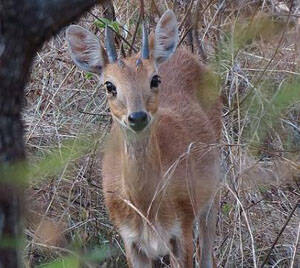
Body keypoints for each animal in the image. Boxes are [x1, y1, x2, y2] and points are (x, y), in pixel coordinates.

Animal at [67, 9, 221, 266]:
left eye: (155, 79)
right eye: (109, 85)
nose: (137, 116)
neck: (147, 208)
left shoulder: (182, 230)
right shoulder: (130, 241)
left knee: (208, 244)